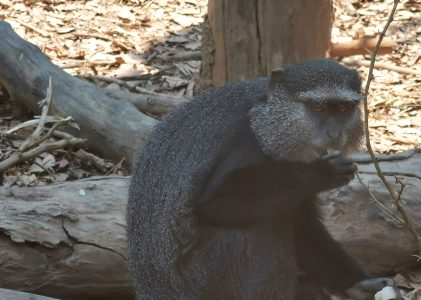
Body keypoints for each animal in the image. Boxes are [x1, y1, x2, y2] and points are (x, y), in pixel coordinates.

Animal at [126, 59, 398, 300]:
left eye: (342, 109)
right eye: (318, 108)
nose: (334, 133)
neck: (268, 114)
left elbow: (303, 226)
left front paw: (358, 286)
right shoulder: (249, 143)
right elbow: (212, 203)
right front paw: (319, 173)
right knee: (261, 226)